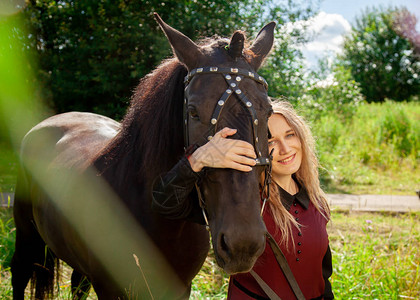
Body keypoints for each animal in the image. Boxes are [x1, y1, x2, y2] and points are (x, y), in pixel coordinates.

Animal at [10, 14, 276, 300]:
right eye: (193, 111)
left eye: (268, 111)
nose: (242, 243)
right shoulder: (109, 288)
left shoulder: (179, 289)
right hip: (26, 235)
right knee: (19, 273)